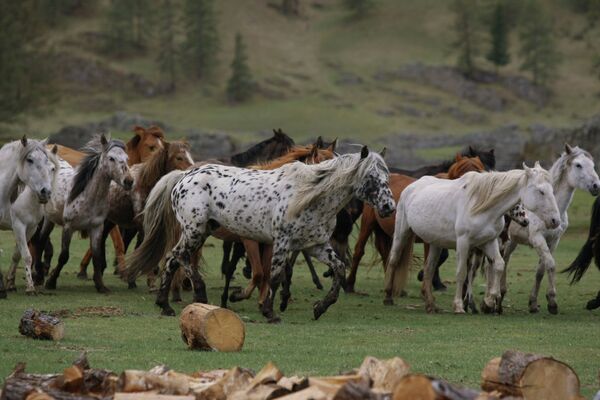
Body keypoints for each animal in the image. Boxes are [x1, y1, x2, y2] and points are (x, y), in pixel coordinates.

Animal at [0, 136, 58, 296]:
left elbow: (20, 255)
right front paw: (30, 287)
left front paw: (11, 283)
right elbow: (26, 255)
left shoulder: (29, 228)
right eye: (30, 160)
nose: (46, 192)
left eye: (49, 165)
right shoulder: (19, 226)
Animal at [126, 147, 394, 322]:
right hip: (194, 230)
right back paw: (197, 292)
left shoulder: (314, 245)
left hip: (202, 231)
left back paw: (165, 305)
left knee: (172, 259)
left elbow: (338, 269)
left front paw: (320, 308)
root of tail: (184, 176)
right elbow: (273, 276)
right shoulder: (282, 241)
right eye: (371, 177)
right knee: (178, 257)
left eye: (387, 176)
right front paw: (269, 311)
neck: (310, 196)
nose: (389, 207)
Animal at [344, 155, 486, 292]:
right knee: (359, 251)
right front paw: (430, 281)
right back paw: (350, 285)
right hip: (368, 223)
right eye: (461, 178)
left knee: (386, 253)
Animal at [386, 162, 560, 312]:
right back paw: (388, 297)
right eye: (541, 191)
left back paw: (431, 305)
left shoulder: (489, 242)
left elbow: (498, 265)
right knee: (393, 260)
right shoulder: (463, 243)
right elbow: (462, 273)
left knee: (429, 269)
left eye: (552, 190)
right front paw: (458, 306)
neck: (483, 206)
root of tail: (411, 186)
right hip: (402, 232)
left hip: (435, 243)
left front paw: (489, 302)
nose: (555, 221)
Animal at [504, 145, 596, 314]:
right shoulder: (537, 239)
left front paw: (533, 303)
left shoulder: (553, 241)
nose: (596, 186)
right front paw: (552, 301)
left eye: (593, 165)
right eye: (578, 165)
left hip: (513, 241)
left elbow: (541, 270)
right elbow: (551, 265)